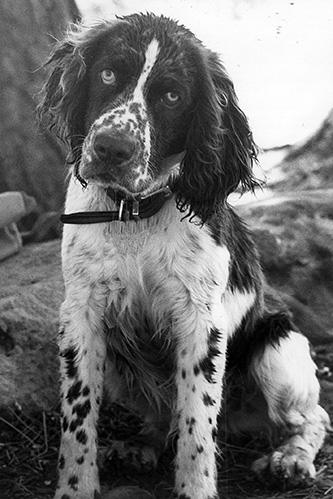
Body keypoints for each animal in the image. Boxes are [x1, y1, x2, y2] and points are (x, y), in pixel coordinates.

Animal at [38, 12, 326, 499]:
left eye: (172, 96)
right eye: (108, 73)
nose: (112, 148)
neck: (135, 215)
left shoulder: (201, 321)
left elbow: (196, 426)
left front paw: (197, 488)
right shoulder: (80, 314)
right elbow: (77, 421)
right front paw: (76, 487)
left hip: (277, 346)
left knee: (312, 419)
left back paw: (290, 458)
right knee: (161, 416)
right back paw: (140, 445)